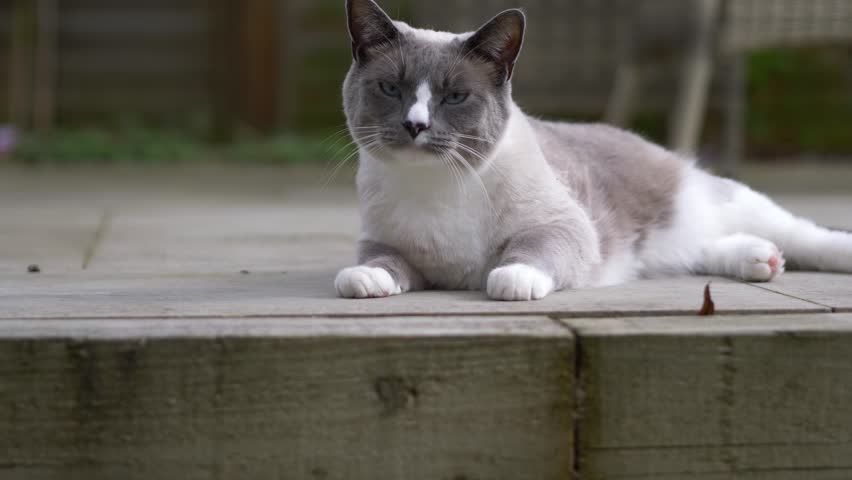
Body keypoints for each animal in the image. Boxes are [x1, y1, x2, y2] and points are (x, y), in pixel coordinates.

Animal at [334, 0, 852, 300]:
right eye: (390, 88)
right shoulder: (381, 241)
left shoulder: (562, 226)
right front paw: (365, 280)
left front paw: (511, 279)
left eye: (456, 97)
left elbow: (527, 253)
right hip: (670, 246)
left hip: (729, 202)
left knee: (804, 234)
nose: (415, 124)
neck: (436, 186)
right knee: (704, 248)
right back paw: (761, 260)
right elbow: (380, 262)